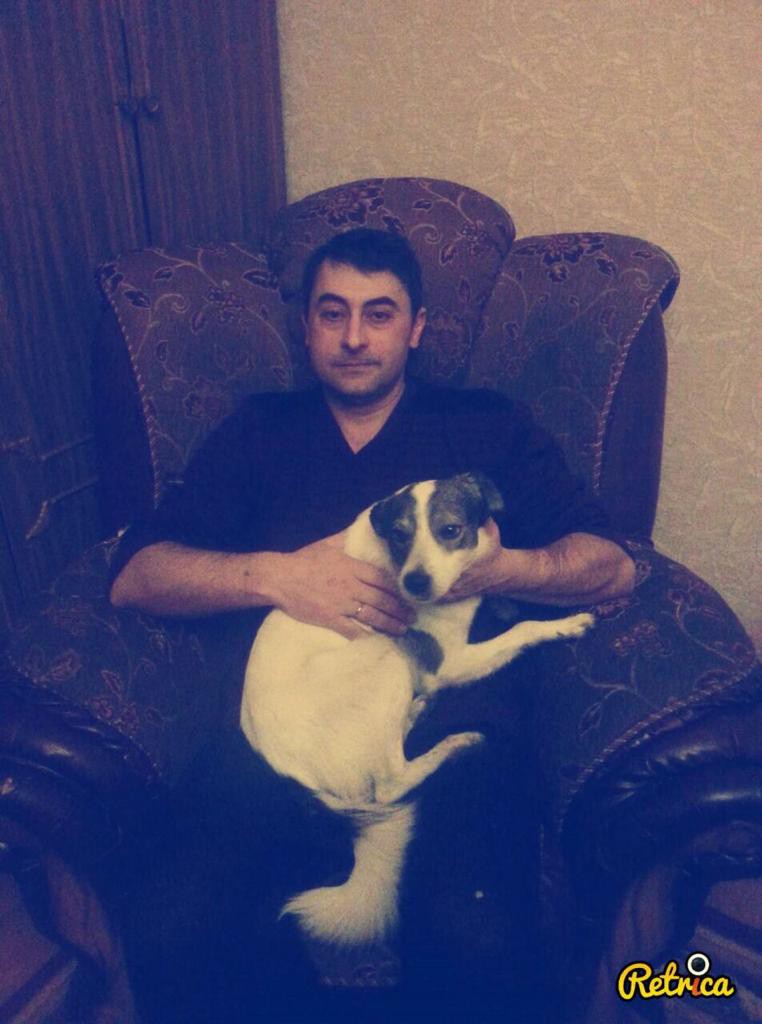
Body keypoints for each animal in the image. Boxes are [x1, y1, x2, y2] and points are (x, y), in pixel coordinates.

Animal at [240, 472, 593, 948]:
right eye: (399, 535)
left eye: (450, 530)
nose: (417, 583)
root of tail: (290, 772)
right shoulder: (449, 663)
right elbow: (522, 629)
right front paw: (564, 624)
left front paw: (504, 600)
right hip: (387, 658)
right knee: (390, 781)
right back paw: (457, 740)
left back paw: (417, 711)